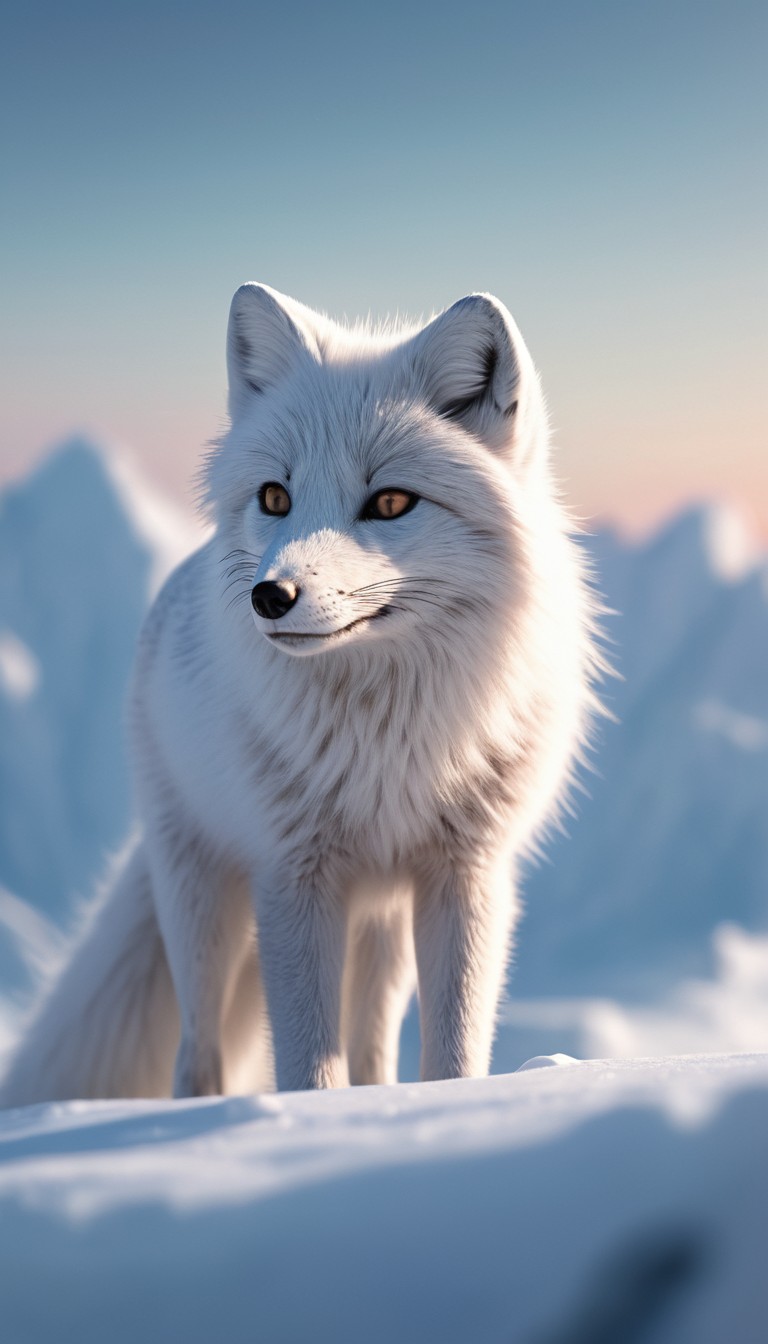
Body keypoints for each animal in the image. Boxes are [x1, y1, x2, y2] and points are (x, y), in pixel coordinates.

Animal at [0, 283, 600, 1104]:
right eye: (275, 496)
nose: (270, 596)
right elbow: (308, 1067)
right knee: (197, 1051)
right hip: (203, 904)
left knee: (372, 1045)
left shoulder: (466, 871)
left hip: (380, 925)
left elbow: (451, 1054)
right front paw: (308, 1120)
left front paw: (440, 1110)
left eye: (390, 504)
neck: (387, 737)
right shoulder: (292, 874)